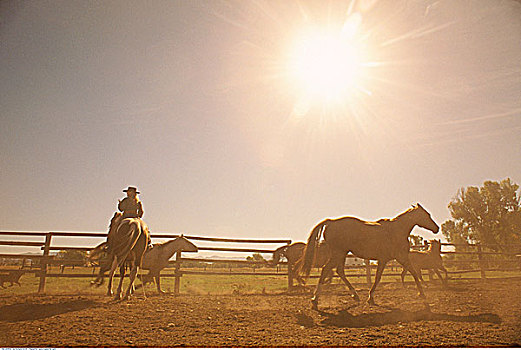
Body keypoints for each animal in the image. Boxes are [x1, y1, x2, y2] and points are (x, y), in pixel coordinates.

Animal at [300, 204, 438, 310]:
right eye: (427, 215)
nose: (436, 228)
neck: (396, 230)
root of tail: (331, 222)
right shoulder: (400, 257)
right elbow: (413, 273)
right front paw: (422, 295)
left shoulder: (384, 260)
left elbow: (378, 278)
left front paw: (370, 298)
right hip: (337, 254)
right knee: (325, 269)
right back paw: (314, 300)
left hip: (341, 254)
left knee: (340, 271)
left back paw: (355, 296)